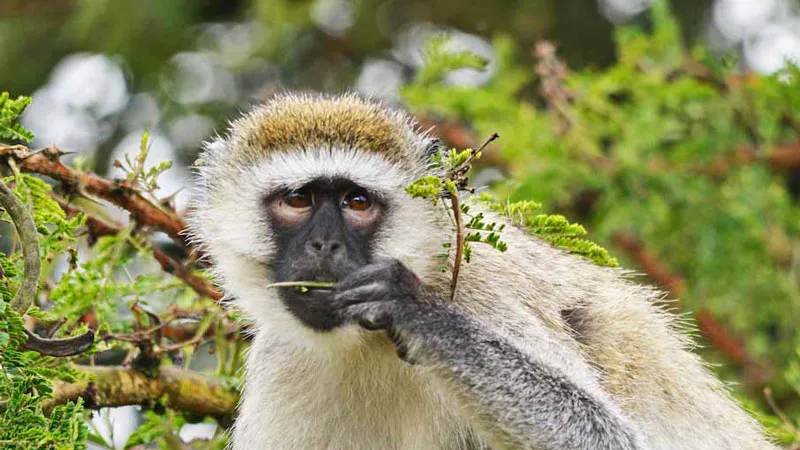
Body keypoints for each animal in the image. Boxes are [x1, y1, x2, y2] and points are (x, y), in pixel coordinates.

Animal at [187, 92, 778, 449]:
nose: (325, 243)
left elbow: (606, 435)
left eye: (357, 202)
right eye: (298, 200)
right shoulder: (282, 360)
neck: (360, 345)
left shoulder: (480, 290)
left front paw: (415, 310)